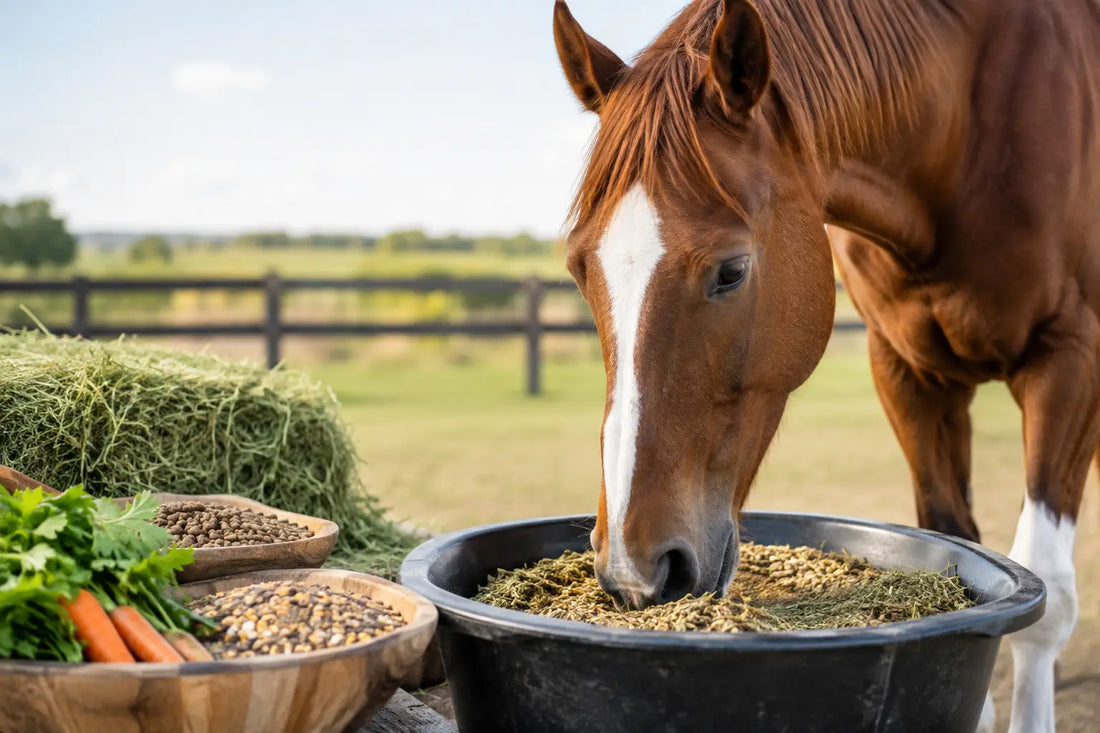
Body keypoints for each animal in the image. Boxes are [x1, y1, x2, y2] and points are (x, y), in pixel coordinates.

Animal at [552, 0, 1100, 730]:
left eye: (732, 271)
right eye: (579, 269)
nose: (633, 568)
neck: (968, 129)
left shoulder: (1071, 360)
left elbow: (1046, 604)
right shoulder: (908, 374)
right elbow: (962, 549)